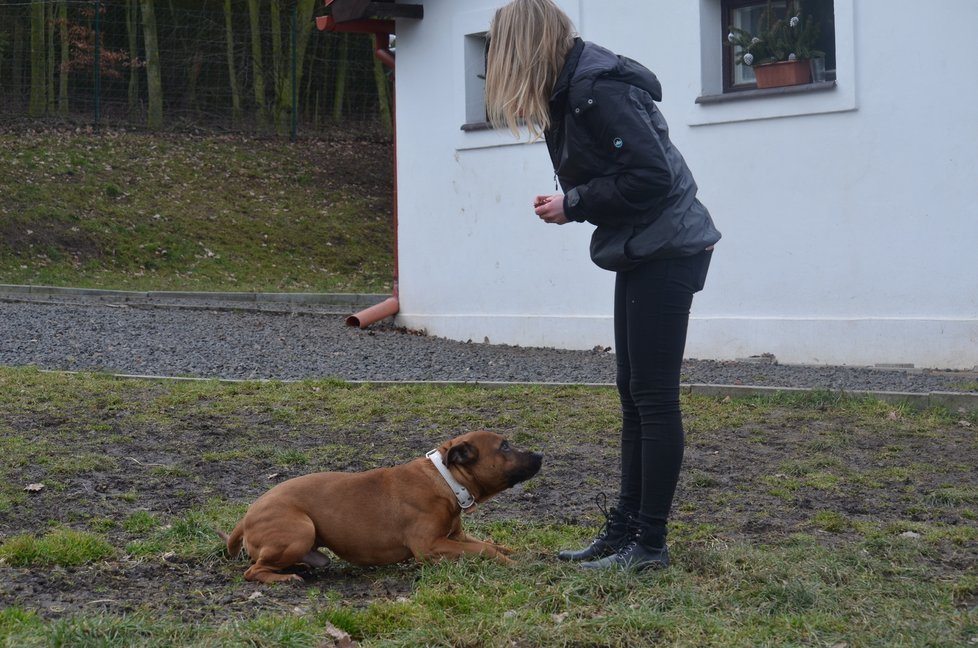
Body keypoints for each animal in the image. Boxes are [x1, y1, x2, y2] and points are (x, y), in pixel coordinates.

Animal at [220, 430, 540, 584]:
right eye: (504, 446)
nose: (539, 454)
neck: (446, 478)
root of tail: (246, 517)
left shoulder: (456, 537)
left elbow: (491, 544)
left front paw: (524, 552)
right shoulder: (431, 547)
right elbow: (486, 550)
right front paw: (512, 563)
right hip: (300, 530)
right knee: (252, 571)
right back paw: (285, 578)